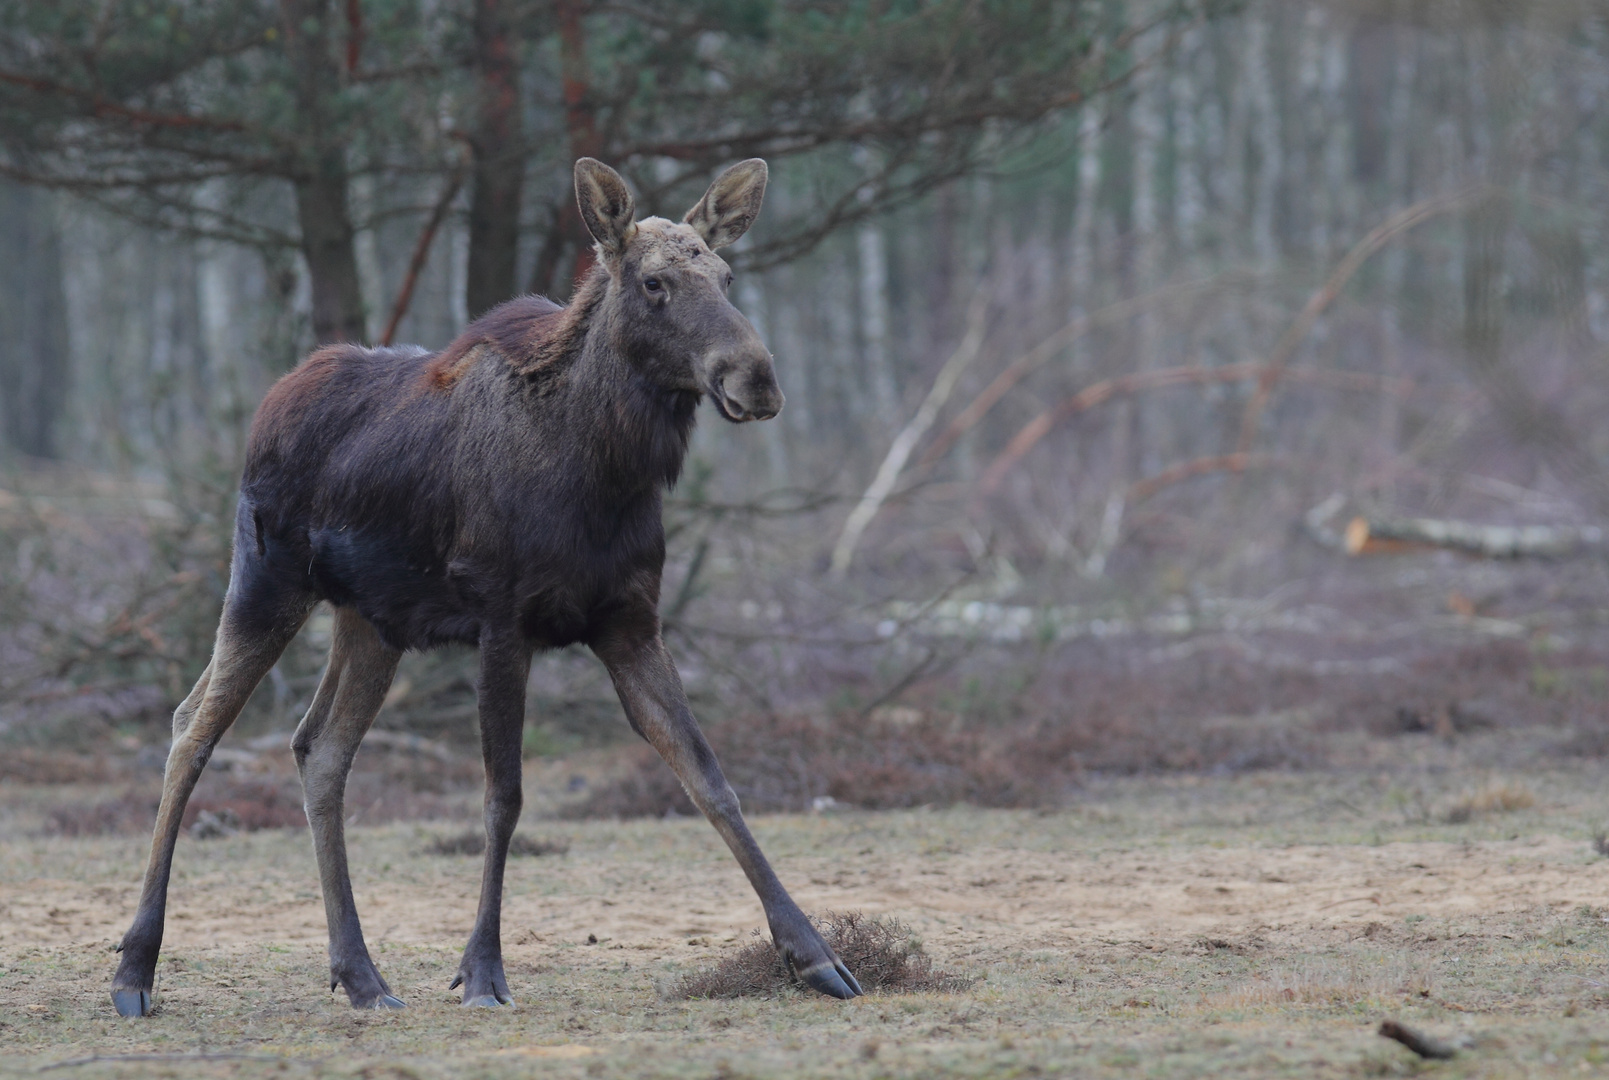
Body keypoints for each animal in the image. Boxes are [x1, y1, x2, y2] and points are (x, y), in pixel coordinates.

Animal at [110, 156, 868, 1017]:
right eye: (652, 282)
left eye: (727, 275)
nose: (756, 377)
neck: (604, 474)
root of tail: (273, 397)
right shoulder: (505, 621)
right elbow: (503, 796)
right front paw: (481, 968)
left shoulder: (630, 620)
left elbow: (710, 779)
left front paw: (815, 955)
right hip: (264, 580)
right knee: (191, 730)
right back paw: (136, 968)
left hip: (371, 620)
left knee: (318, 747)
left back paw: (360, 973)